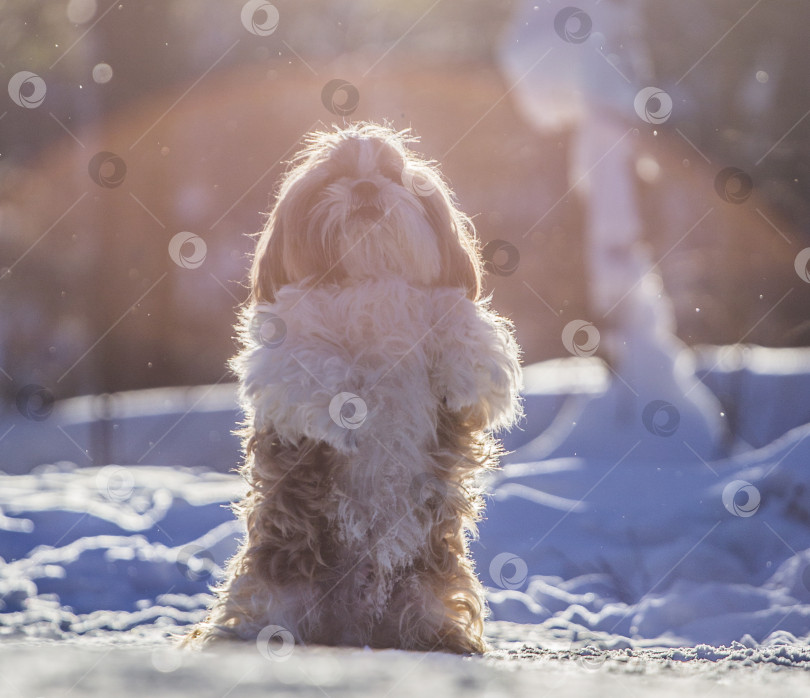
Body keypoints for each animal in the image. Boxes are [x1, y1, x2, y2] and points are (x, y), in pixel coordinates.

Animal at [185, 121, 520, 652]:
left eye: (391, 175)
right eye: (334, 178)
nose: (364, 187)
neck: (368, 276)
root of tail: (353, 625)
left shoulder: (445, 315)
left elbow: (464, 331)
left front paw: (463, 369)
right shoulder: (287, 348)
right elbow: (311, 363)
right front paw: (346, 413)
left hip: (432, 573)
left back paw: (441, 634)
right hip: (279, 572)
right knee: (261, 608)